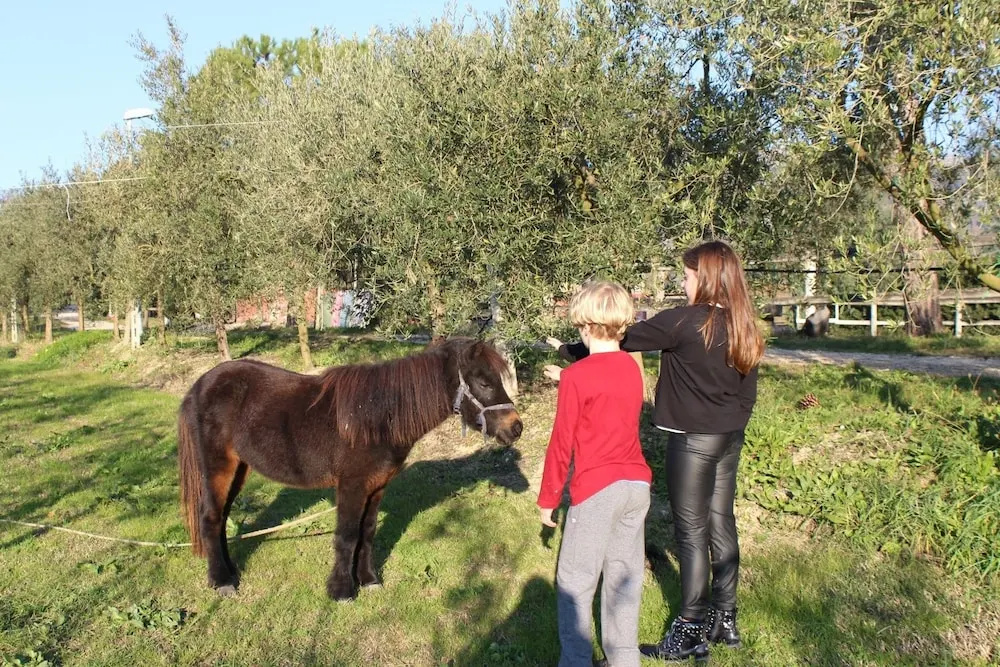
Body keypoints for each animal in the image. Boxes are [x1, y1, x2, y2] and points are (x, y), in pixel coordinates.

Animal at [177, 337, 523, 600]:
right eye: (483, 382)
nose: (516, 428)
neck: (378, 416)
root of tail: (199, 385)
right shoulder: (352, 486)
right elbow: (346, 535)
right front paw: (341, 590)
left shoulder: (377, 486)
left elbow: (366, 533)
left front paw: (368, 580)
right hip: (218, 468)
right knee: (210, 518)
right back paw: (222, 581)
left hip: (239, 469)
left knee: (222, 519)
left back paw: (230, 571)